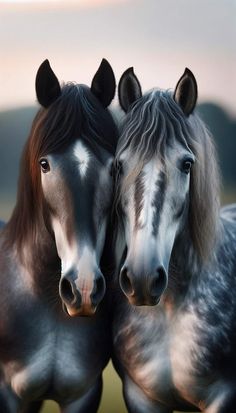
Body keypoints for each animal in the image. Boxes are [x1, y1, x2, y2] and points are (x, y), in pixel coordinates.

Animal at [111, 67, 236, 412]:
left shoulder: (224, 396)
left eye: (187, 164)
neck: (169, 309)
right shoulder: (140, 397)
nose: (142, 278)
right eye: (119, 165)